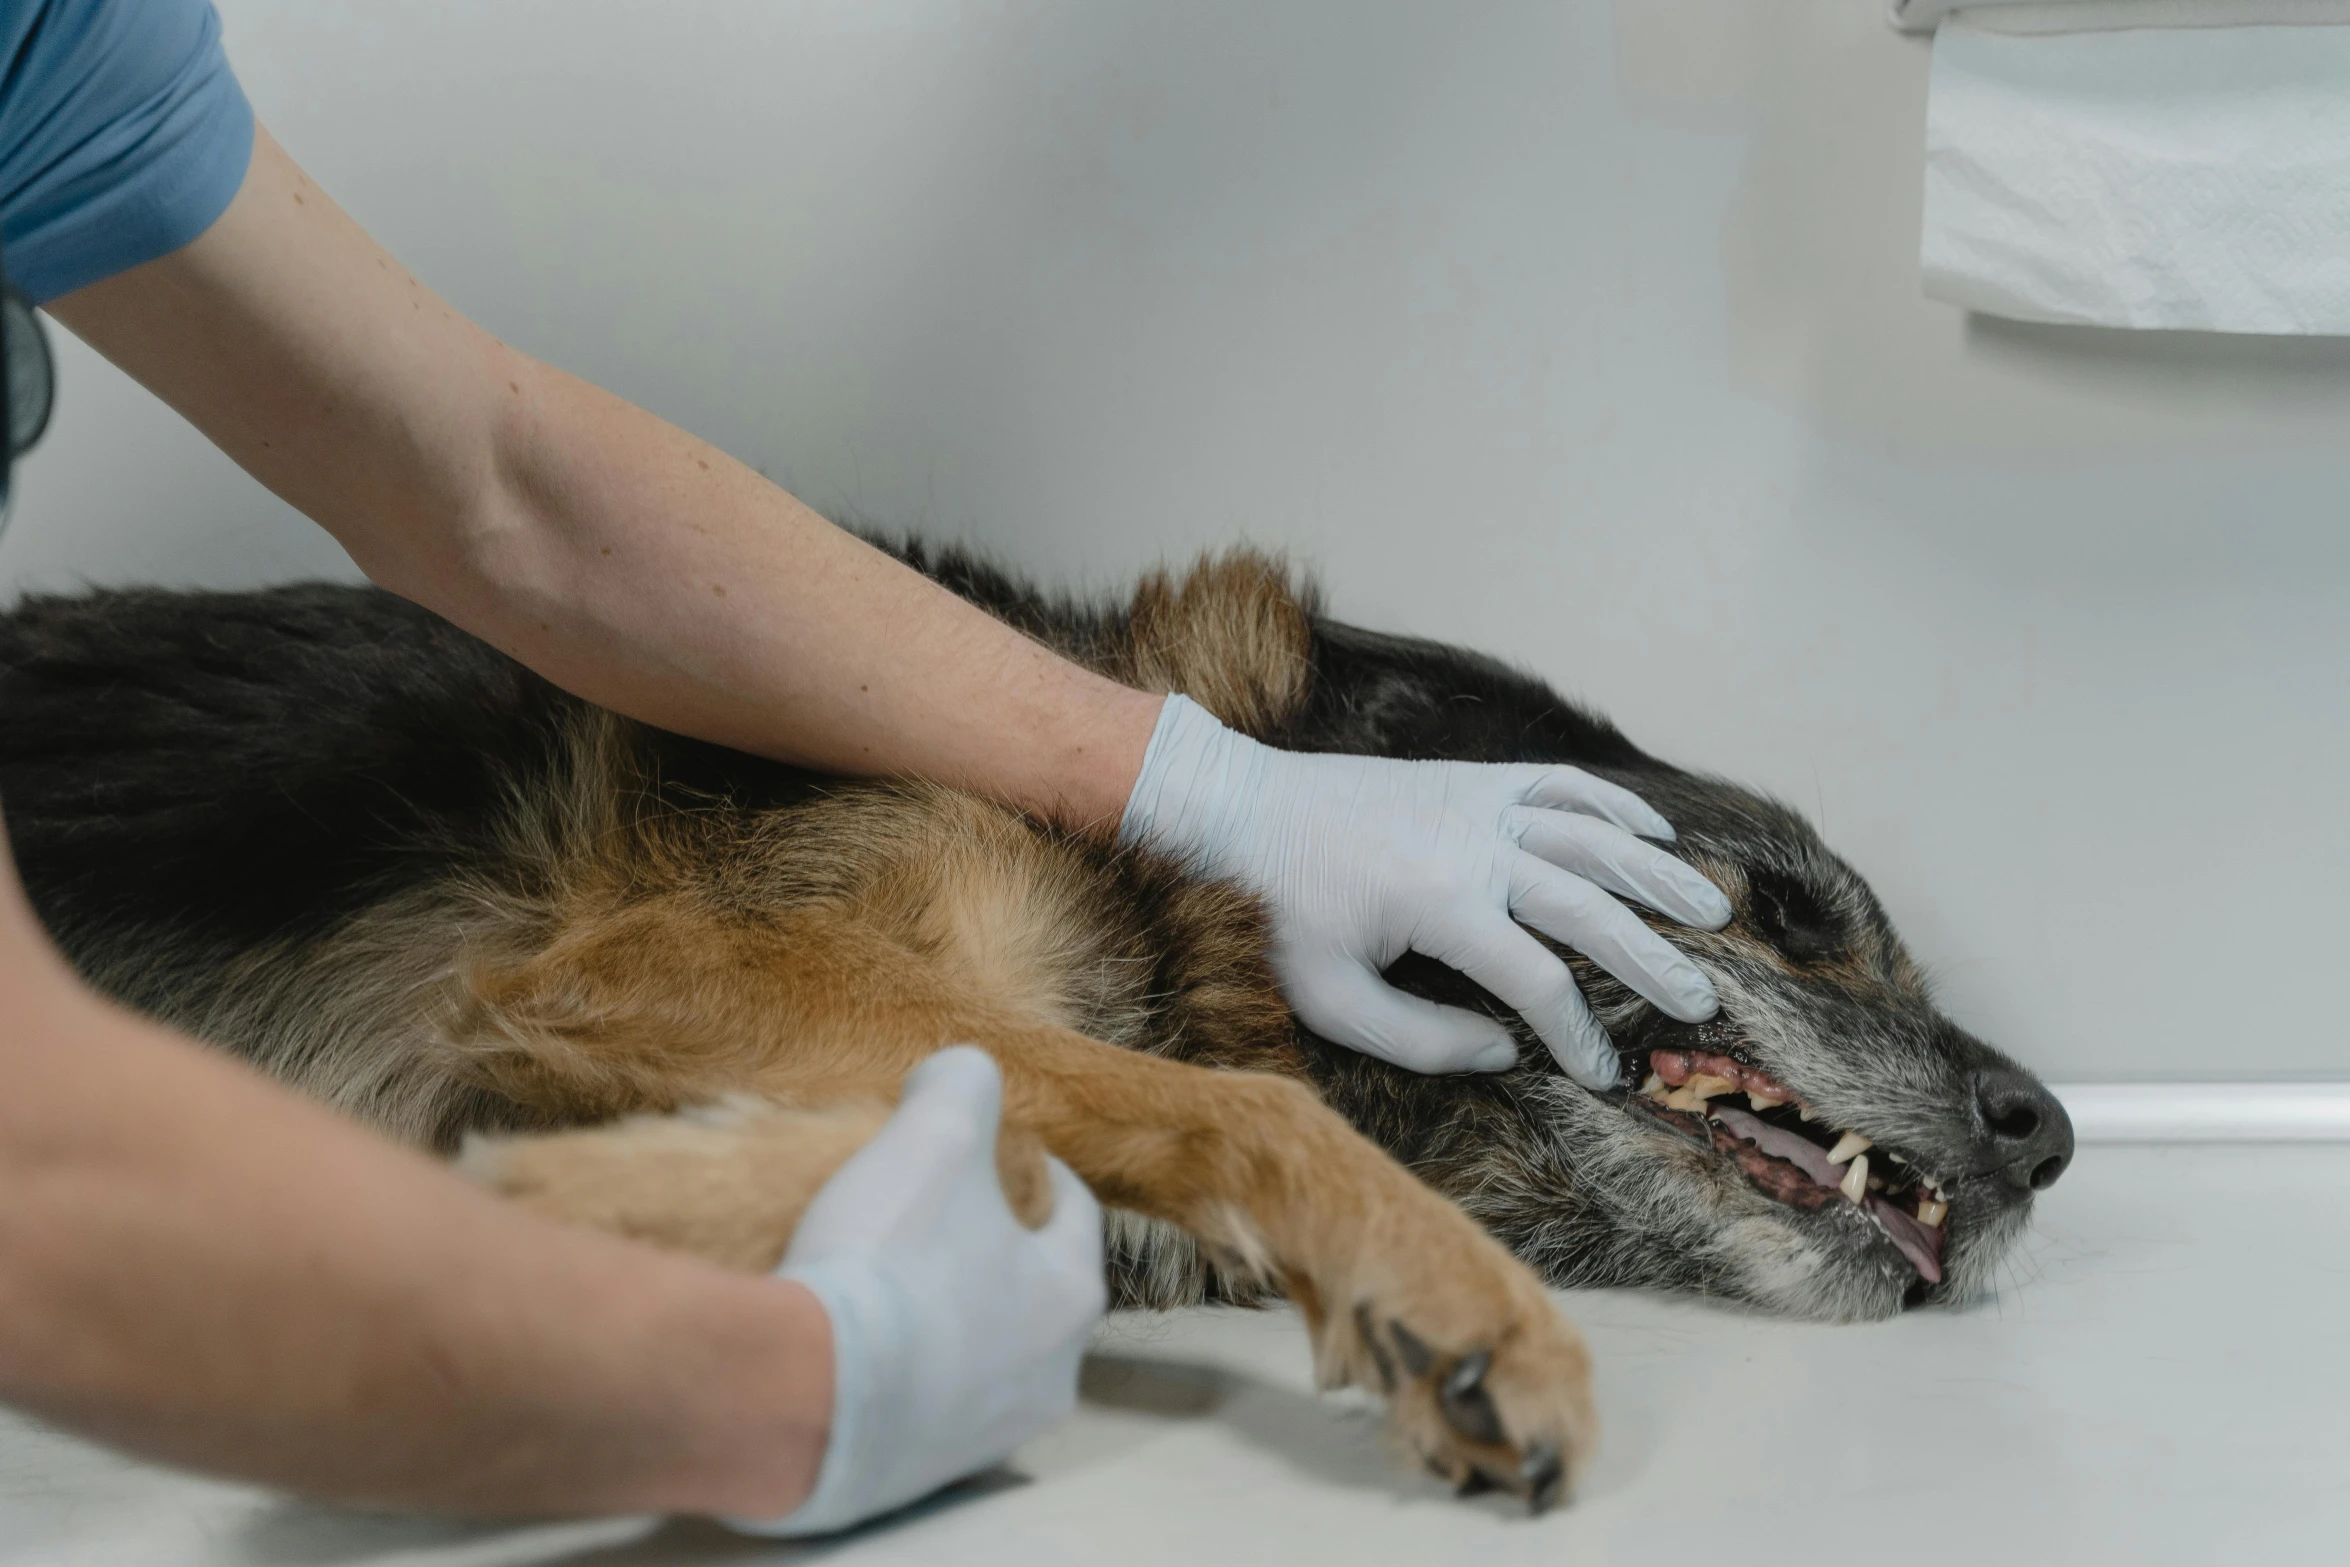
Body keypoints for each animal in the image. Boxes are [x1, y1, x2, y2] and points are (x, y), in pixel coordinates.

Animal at [0, 545, 2068, 1512]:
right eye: (1788, 913)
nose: (2047, 1130)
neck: (1170, 888)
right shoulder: (646, 954)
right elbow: (1213, 1104)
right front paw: (1443, 1287)